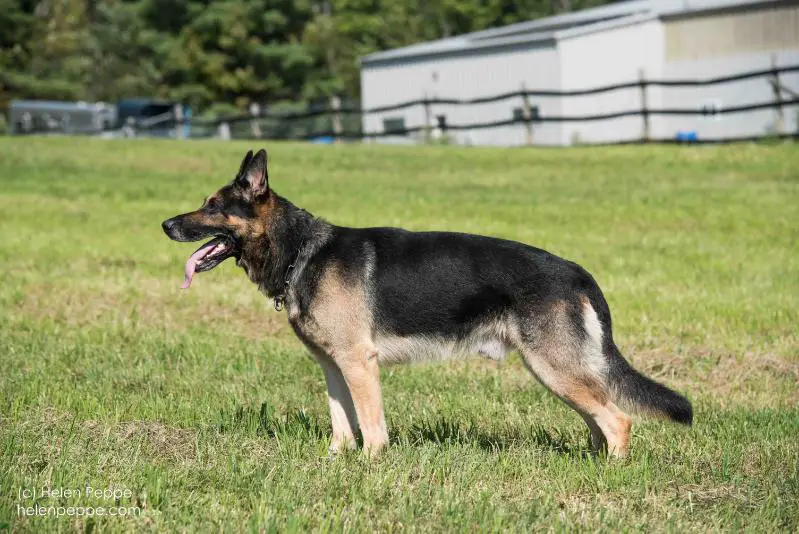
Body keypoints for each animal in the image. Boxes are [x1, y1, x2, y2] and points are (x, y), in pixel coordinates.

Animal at [164, 149, 692, 458]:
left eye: (213, 207)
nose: (166, 225)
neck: (302, 251)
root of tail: (577, 272)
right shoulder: (334, 367)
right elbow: (341, 423)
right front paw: (335, 463)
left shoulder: (360, 363)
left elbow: (371, 427)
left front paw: (370, 468)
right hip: (559, 372)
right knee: (599, 418)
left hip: (554, 367)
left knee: (618, 419)